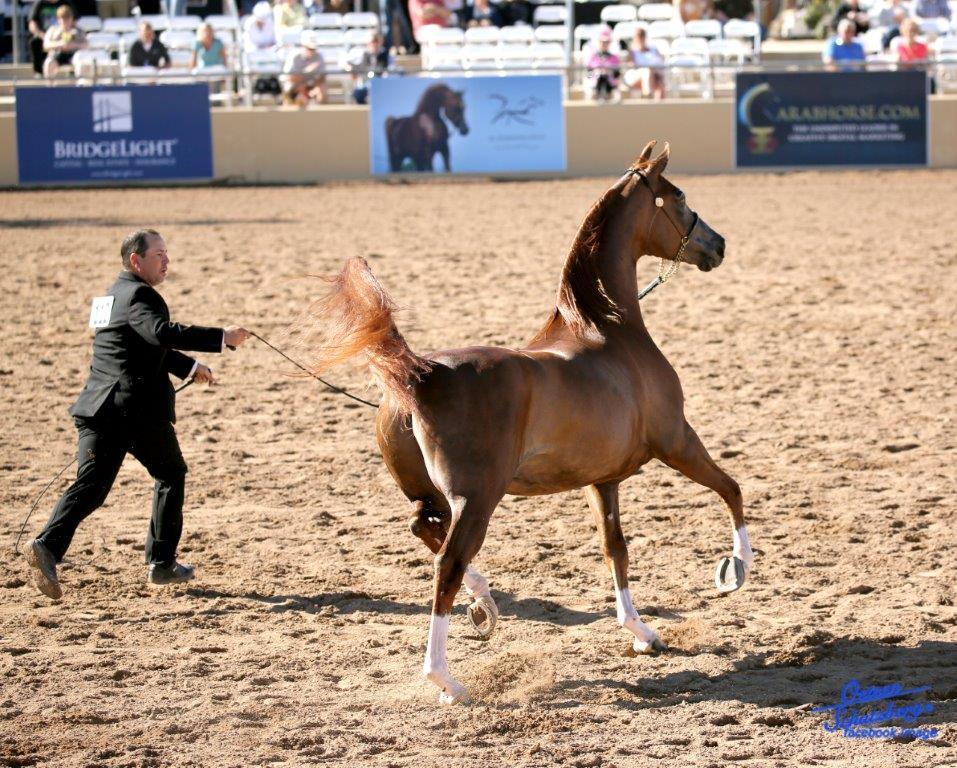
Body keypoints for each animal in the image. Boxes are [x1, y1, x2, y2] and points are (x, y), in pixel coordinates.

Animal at [305, 141, 753, 705]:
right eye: (678, 196)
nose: (718, 245)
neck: (610, 332)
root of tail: (420, 374)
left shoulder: (602, 479)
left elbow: (615, 549)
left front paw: (643, 633)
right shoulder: (677, 440)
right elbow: (730, 489)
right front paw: (735, 570)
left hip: (431, 494)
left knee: (425, 530)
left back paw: (484, 607)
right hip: (477, 498)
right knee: (446, 563)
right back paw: (447, 679)